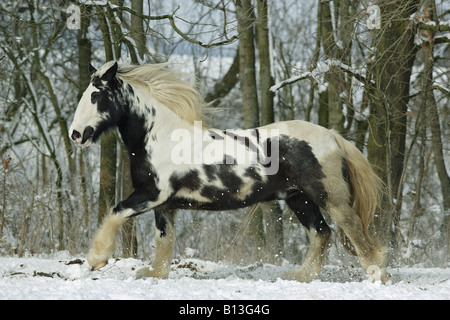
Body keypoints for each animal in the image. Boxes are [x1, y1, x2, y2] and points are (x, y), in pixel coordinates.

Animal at [68, 60, 388, 282]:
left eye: (96, 96)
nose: (76, 134)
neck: (160, 137)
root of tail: (332, 136)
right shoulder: (164, 205)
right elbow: (164, 240)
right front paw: (154, 274)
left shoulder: (151, 195)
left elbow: (115, 212)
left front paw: (96, 259)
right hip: (299, 198)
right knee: (321, 234)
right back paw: (299, 277)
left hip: (329, 197)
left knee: (353, 231)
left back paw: (376, 275)